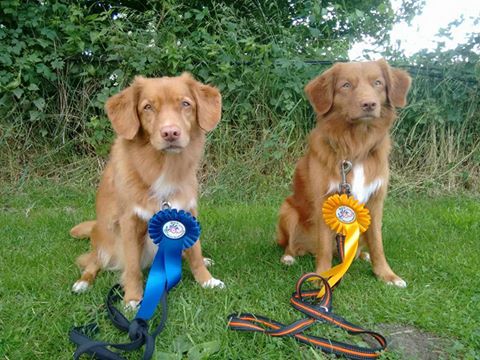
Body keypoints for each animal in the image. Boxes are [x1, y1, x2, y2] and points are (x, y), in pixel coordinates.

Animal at [71, 73, 225, 306]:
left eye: (185, 104)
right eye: (148, 107)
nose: (170, 132)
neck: (163, 167)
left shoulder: (187, 211)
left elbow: (195, 251)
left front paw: (207, 280)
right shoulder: (129, 222)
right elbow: (132, 266)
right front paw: (133, 298)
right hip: (105, 240)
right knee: (92, 262)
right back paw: (83, 282)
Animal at [276, 60, 410, 288]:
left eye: (377, 83)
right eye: (346, 85)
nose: (369, 104)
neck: (356, 147)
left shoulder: (375, 203)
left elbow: (377, 243)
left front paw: (387, 275)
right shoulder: (325, 199)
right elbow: (323, 246)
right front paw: (322, 276)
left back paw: (362, 255)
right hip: (288, 210)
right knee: (293, 244)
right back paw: (289, 256)